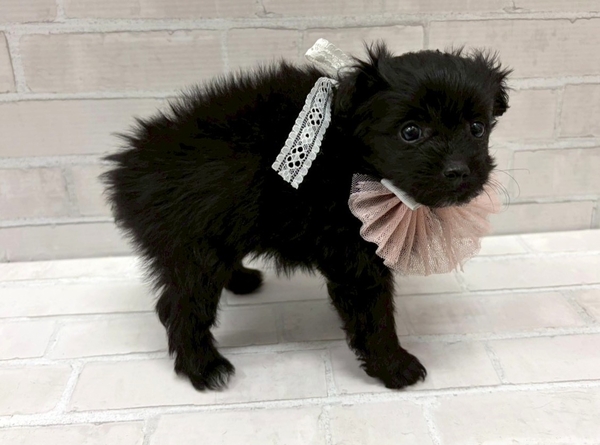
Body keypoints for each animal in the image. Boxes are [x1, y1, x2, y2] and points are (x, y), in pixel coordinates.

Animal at [103, 42, 510, 391]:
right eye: (410, 132)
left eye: (477, 128)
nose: (458, 171)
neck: (351, 155)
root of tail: (127, 167)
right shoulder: (355, 258)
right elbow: (374, 315)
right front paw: (394, 366)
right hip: (195, 251)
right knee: (179, 306)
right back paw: (203, 367)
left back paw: (241, 279)